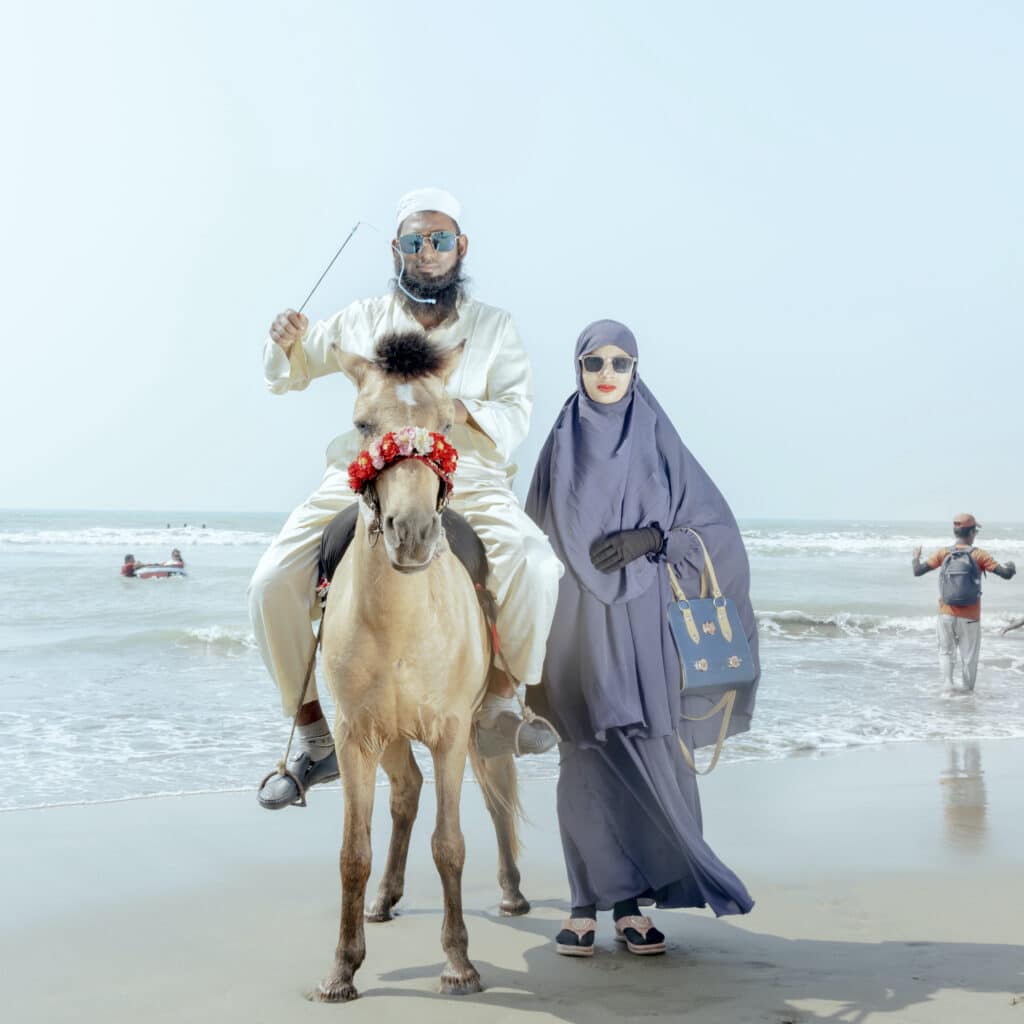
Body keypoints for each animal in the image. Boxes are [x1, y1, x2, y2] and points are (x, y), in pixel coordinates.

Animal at [315, 333, 528, 999]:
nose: (410, 534)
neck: (402, 626)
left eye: (446, 426)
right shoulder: (357, 734)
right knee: (406, 792)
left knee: (497, 793)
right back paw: (385, 897)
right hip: (388, 734)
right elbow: (352, 853)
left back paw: (513, 893)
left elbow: (450, 845)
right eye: (364, 424)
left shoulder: (450, 732)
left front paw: (459, 963)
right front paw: (342, 967)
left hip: (481, 728)